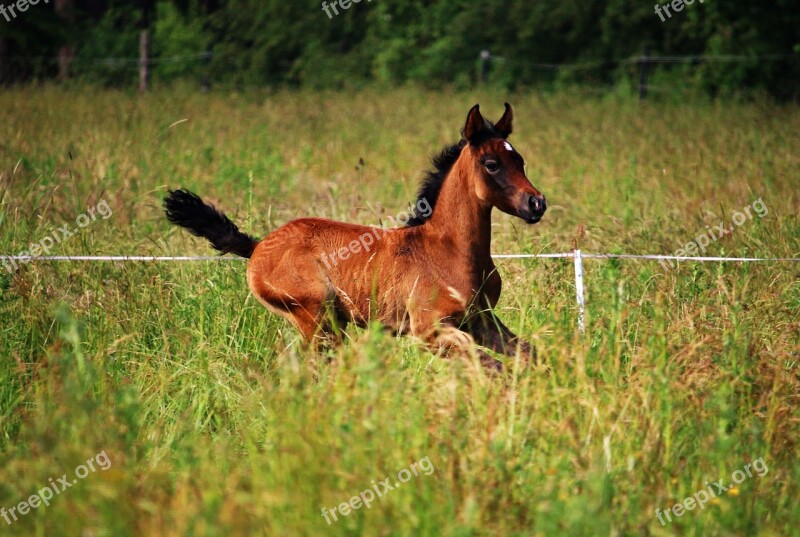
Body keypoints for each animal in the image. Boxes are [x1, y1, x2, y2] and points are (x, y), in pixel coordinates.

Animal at [166, 102, 548, 368]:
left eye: (521, 161)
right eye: (491, 164)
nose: (536, 203)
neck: (450, 250)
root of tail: (258, 246)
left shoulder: (482, 321)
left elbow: (527, 355)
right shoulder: (430, 331)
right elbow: (489, 367)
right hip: (317, 320)